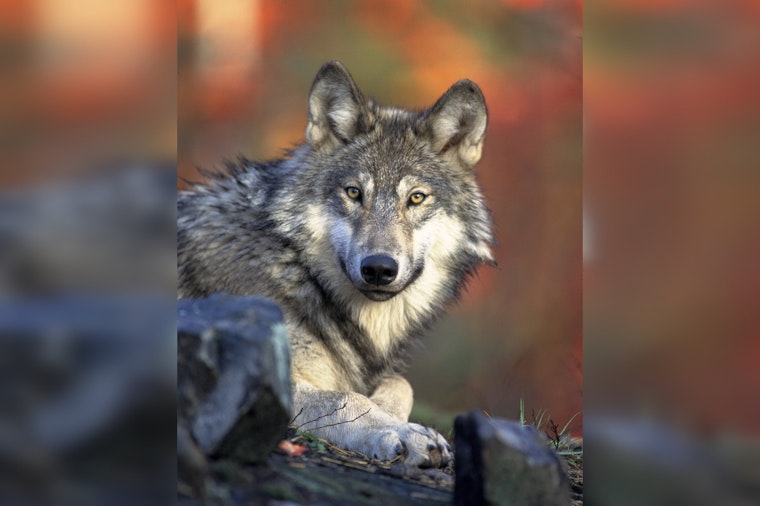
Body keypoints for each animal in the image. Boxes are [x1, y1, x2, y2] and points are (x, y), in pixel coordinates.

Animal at [178, 61, 494, 468]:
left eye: (416, 198)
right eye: (354, 193)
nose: (379, 269)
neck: (298, 269)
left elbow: (400, 384)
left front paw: (394, 417)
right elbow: (347, 399)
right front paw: (404, 433)